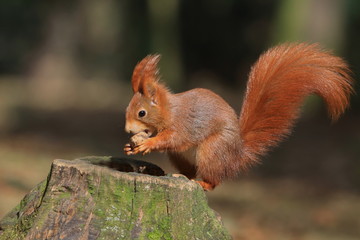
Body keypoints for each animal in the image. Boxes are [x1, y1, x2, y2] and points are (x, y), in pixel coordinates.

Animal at [123, 42, 352, 190]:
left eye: (142, 113)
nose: (128, 130)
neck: (170, 110)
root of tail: (236, 155)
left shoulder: (185, 123)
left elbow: (174, 138)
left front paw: (148, 144)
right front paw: (130, 146)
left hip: (212, 150)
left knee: (213, 181)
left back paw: (202, 183)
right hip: (181, 157)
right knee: (191, 171)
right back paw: (182, 175)